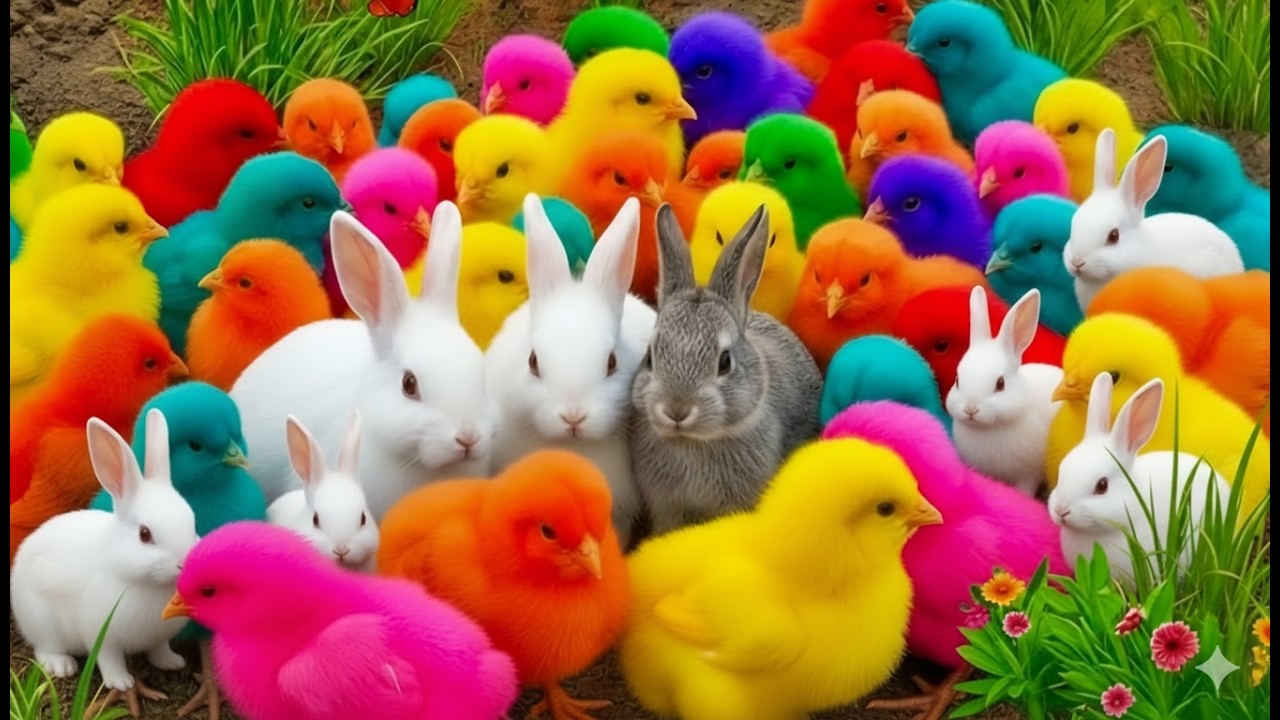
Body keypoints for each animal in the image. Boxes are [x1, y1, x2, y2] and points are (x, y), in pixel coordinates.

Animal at [11, 410, 198, 695]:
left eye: (193, 522)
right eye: (145, 534)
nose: (184, 563)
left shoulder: (159, 637)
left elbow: (158, 650)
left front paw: (171, 662)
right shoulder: (103, 636)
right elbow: (110, 659)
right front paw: (120, 683)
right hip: (43, 624)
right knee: (43, 649)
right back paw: (62, 666)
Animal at [946, 286, 1063, 497]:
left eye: (1000, 384)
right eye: (958, 381)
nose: (971, 409)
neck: (989, 428)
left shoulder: (1028, 473)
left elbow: (1025, 489)